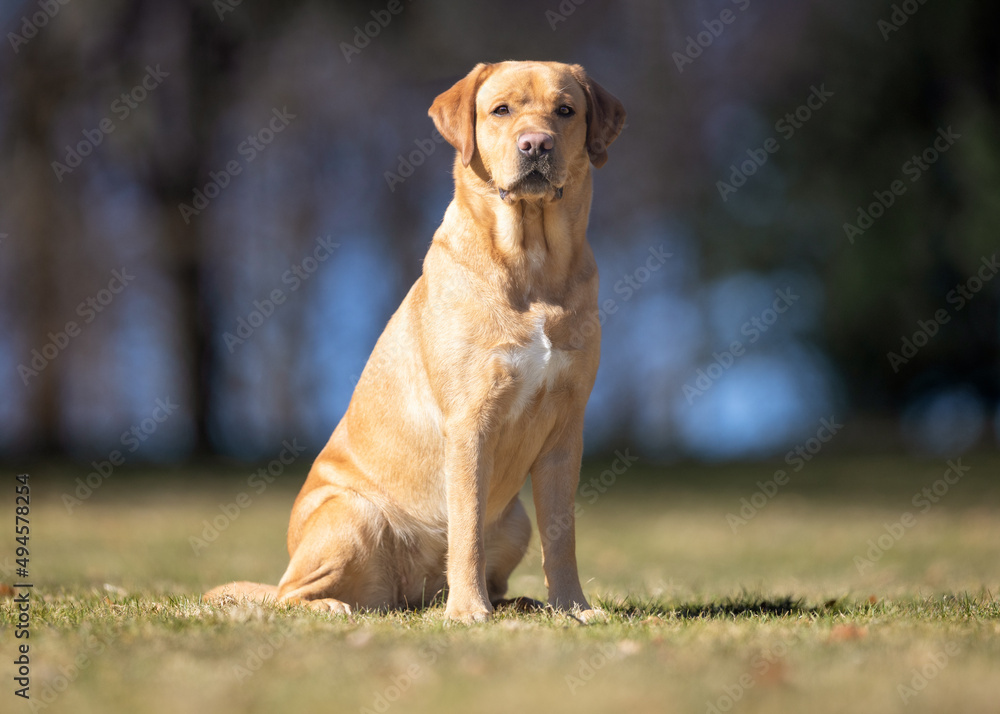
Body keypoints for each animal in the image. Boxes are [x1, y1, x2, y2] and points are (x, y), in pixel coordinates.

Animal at [204, 59, 624, 616]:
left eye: (565, 111)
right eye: (501, 110)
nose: (536, 144)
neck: (531, 261)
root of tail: (407, 595)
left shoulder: (565, 428)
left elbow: (562, 535)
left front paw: (572, 606)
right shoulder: (470, 421)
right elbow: (466, 528)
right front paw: (468, 612)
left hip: (514, 521)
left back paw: (517, 603)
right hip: (352, 515)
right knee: (290, 593)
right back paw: (339, 606)